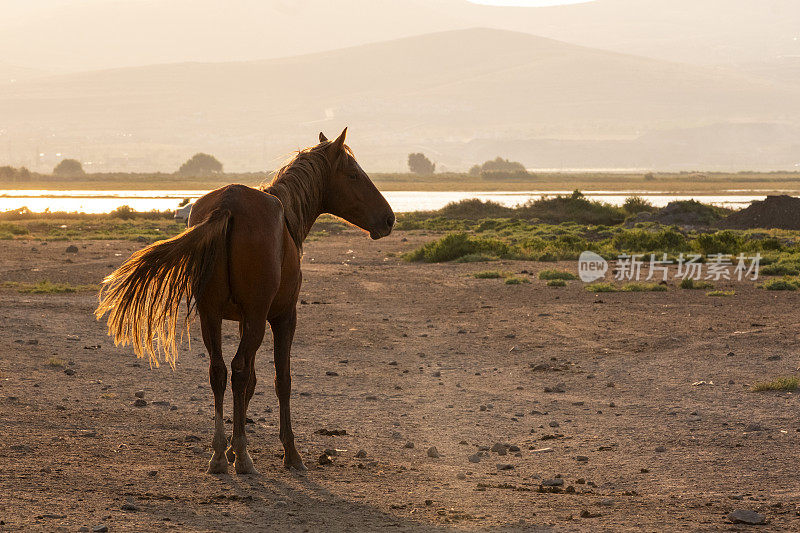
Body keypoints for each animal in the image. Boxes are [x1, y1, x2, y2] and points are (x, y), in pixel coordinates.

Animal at [95, 130, 396, 474]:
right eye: (354, 174)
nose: (389, 219)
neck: (287, 218)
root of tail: (228, 205)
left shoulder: (240, 320)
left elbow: (249, 382)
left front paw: (230, 449)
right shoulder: (281, 317)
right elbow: (281, 381)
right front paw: (289, 453)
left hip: (211, 315)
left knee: (219, 372)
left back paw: (219, 454)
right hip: (255, 318)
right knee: (238, 370)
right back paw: (242, 455)